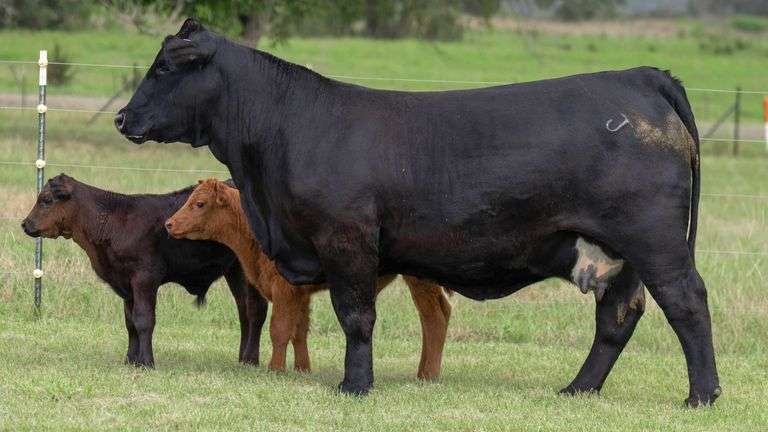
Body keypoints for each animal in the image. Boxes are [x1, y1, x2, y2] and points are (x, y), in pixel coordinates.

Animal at [21, 174, 268, 368]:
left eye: (46, 200)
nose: (25, 224)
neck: (113, 222)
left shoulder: (145, 277)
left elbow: (143, 319)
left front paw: (147, 362)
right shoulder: (125, 283)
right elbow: (130, 321)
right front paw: (131, 359)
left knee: (256, 309)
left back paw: (250, 360)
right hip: (235, 270)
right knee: (244, 310)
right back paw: (242, 358)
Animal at [164, 178, 451, 378]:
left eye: (199, 203)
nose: (169, 223)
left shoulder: (284, 290)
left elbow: (279, 329)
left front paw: (275, 369)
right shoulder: (300, 294)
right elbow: (299, 330)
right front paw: (302, 368)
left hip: (420, 281)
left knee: (434, 318)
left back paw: (428, 375)